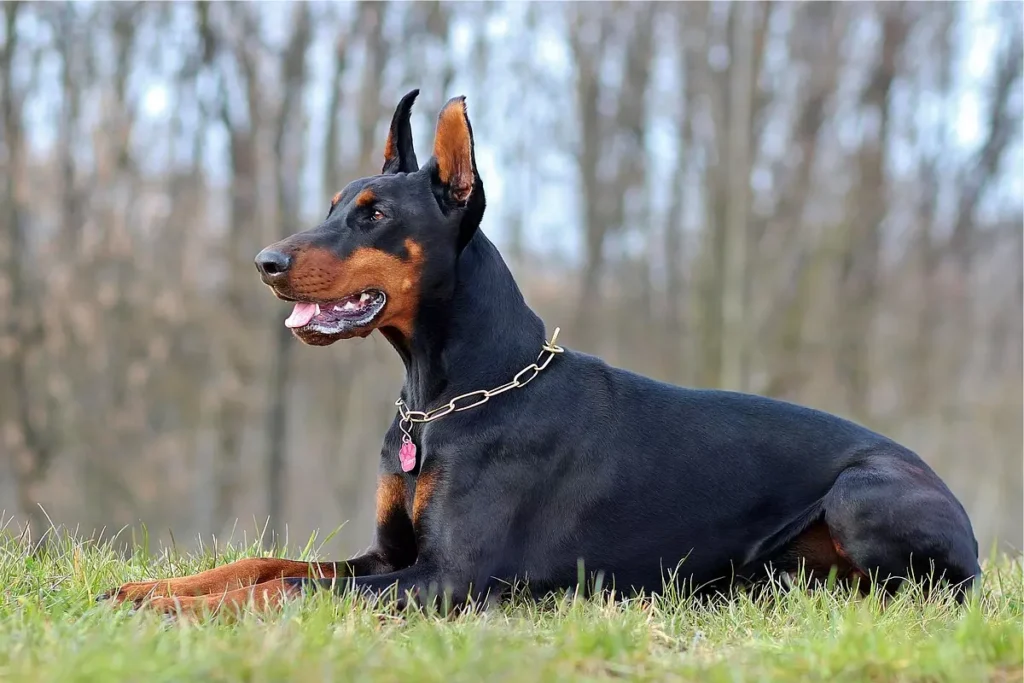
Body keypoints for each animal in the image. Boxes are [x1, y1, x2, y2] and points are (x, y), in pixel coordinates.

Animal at [99, 88, 978, 618]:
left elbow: (285, 591)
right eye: (333, 205)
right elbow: (260, 565)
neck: (449, 395)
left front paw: (174, 610)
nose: (266, 261)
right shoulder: (388, 554)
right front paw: (147, 587)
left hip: (862, 491)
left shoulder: (445, 577)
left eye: (374, 214)